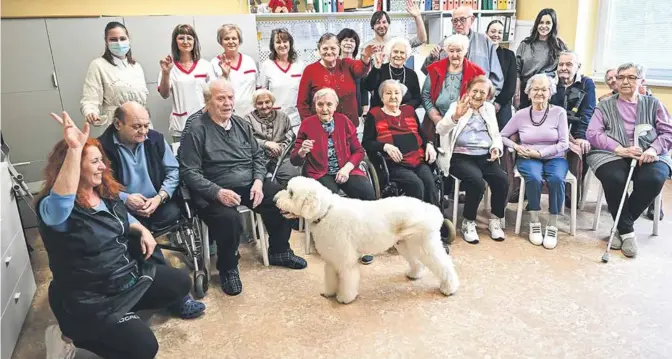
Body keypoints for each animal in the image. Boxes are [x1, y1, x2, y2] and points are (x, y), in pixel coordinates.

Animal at [276, 176, 460, 304]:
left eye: (291, 193)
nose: (274, 199)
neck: (326, 212)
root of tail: (430, 210)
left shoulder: (345, 260)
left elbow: (348, 279)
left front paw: (344, 298)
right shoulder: (331, 260)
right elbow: (330, 278)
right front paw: (329, 292)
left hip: (424, 244)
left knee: (444, 265)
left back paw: (449, 288)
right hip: (407, 244)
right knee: (417, 262)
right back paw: (413, 275)